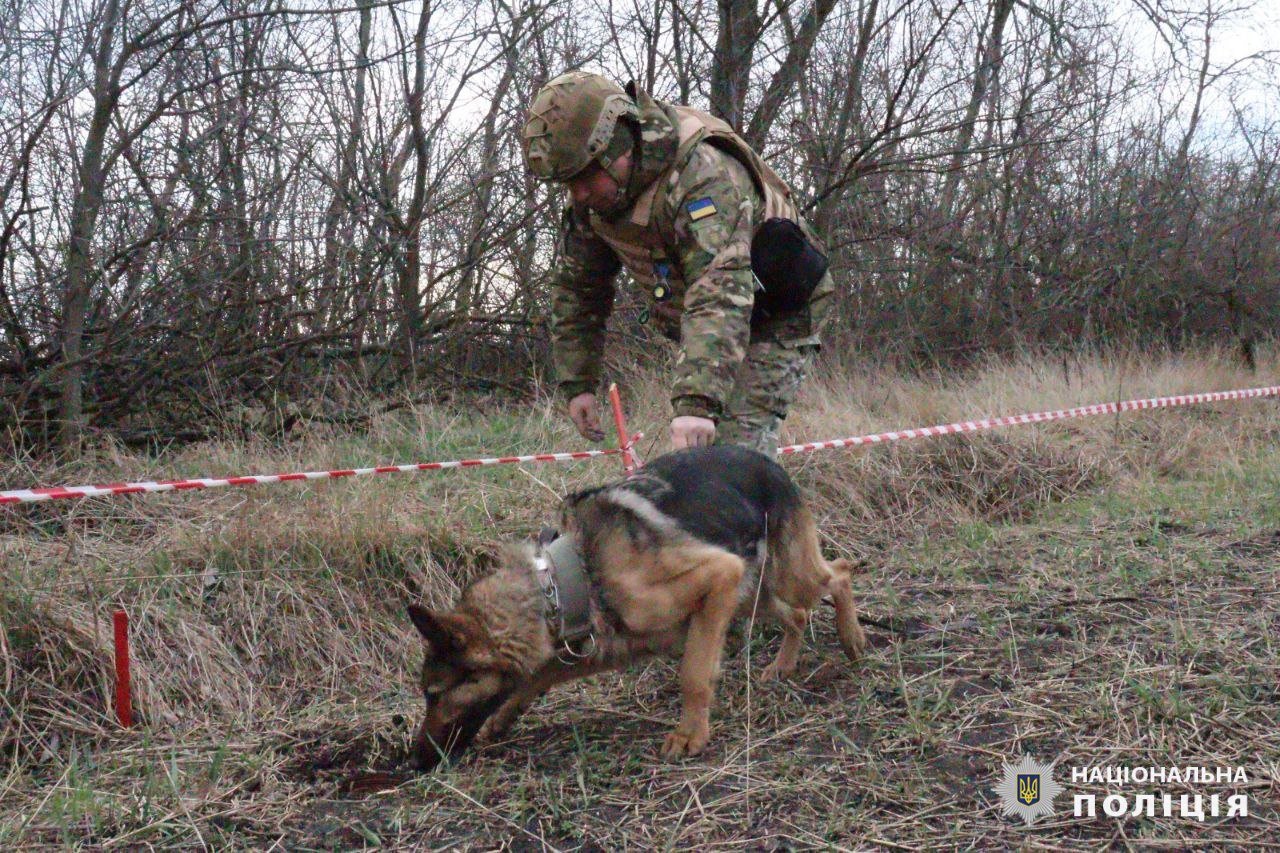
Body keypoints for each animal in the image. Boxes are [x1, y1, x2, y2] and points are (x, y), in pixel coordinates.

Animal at [407, 445, 870, 768]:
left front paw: (690, 734)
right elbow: (532, 682)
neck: (566, 579)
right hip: (752, 595)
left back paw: (852, 637)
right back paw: (784, 663)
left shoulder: (718, 575)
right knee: (799, 613)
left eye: (434, 694)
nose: (414, 761)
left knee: (840, 574)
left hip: (784, 577)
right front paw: (500, 720)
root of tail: (764, 459)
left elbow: (693, 675)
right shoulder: (598, 648)